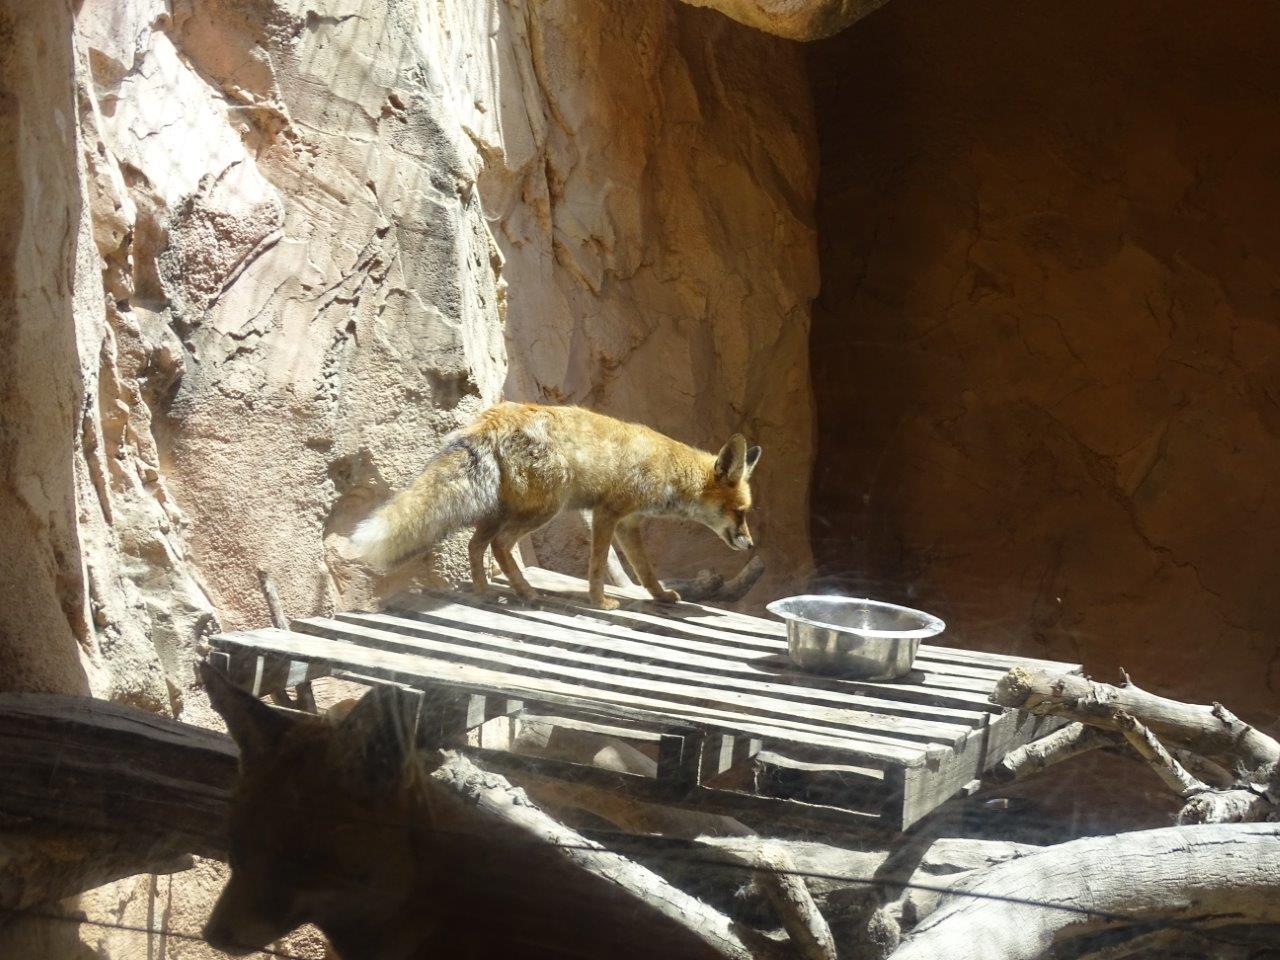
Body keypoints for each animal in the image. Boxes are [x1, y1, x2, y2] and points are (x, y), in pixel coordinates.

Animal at [349, 402, 761, 610]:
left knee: (475, 545)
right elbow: (596, 566)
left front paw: (660, 596)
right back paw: (527, 593)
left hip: (502, 511)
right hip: (546, 510)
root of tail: (494, 415)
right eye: (740, 513)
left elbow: (645, 570)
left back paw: (485, 592)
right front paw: (600, 601)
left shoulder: (628, 523)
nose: (751, 544)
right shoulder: (606, 513)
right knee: (500, 545)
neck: (668, 470)